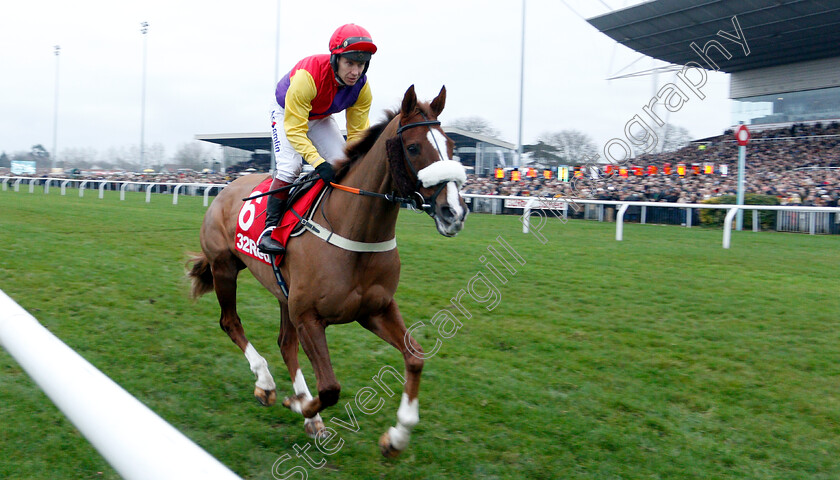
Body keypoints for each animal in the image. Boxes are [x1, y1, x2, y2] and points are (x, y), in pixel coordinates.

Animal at [187, 86, 470, 458]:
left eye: (451, 146)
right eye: (413, 147)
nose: (454, 212)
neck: (355, 231)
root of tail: (227, 188)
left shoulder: (376, 309)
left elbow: (415, 357)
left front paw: (396, 436)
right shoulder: (309, 317)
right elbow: (331, 387)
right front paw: (298, 404)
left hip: (284, 294)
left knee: (285, 343)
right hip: (224, 268)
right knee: (230, 322)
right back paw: (266, 383)